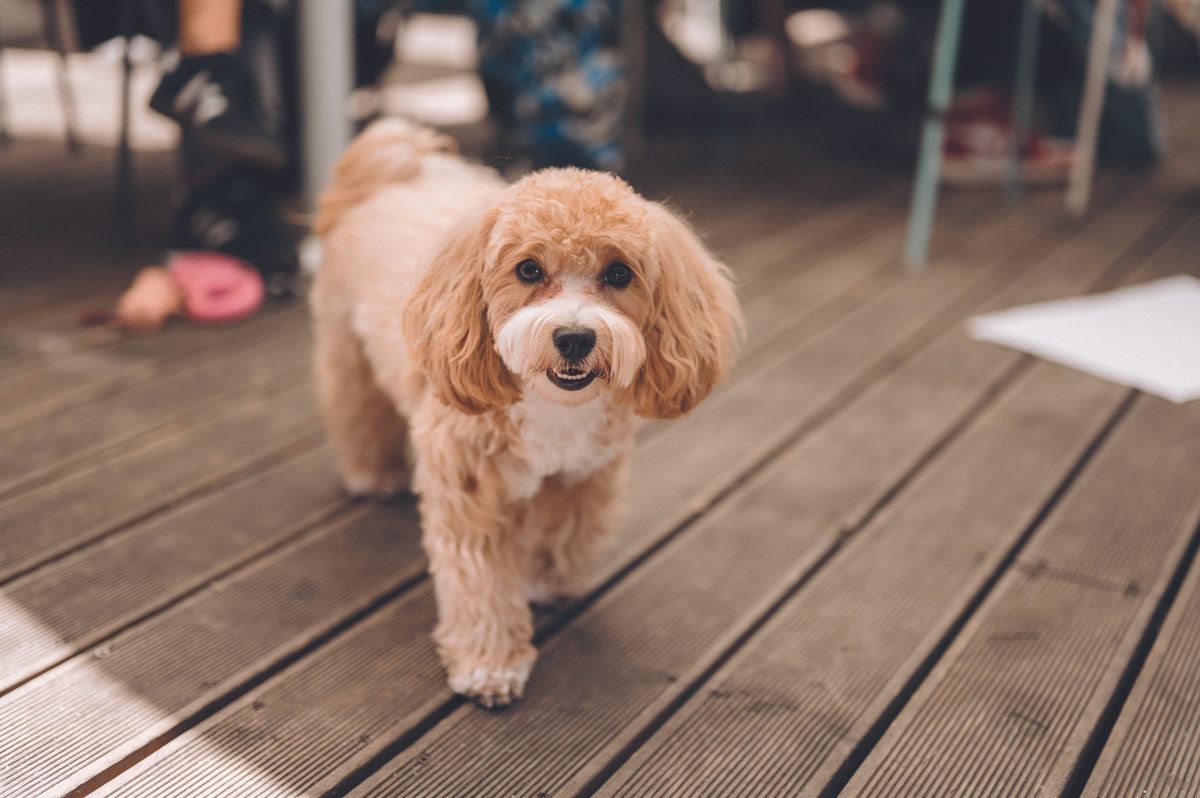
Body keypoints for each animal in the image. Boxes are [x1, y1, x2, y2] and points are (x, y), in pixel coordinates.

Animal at [309, 120, 739, 705]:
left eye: (619, 274)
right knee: (355, 408)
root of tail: (398, 162)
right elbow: (483, 585)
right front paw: (490, 666)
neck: (552, 406)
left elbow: (563, 535)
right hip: (347, 347)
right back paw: (372, 473)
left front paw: (549, 585)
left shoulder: (582, 475)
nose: (575, 337)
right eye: (529, 269)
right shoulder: (472, 493)